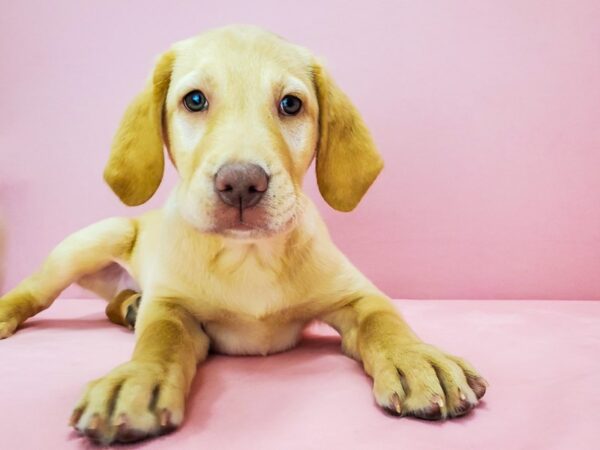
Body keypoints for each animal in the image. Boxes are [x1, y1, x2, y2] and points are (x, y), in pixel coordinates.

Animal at [0, 26, 488, 444]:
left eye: (291, 104)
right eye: (194, 100)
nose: (239, 184)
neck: (249, 255)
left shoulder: (357, 294)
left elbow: (384, 320)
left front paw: (416, 357)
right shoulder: (172, 305)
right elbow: (160, 339)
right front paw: (138, 377)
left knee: (111, 303)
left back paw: (129, 306)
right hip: (94, 240)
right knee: (33, 292)